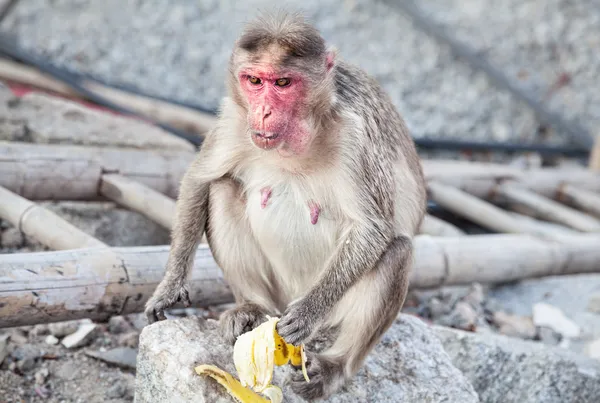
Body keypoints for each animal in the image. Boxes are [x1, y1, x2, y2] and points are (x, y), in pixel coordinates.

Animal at [145, 11, 426, 400]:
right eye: (254, 80)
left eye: (282, 82)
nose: (262, 112)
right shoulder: (234, 121)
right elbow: (200, 180)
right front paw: (170, 287)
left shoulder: (355, 137)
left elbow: (372, 228)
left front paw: (308, 313)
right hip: (277, 290)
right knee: (223, 189)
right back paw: (252, 307)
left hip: (333, 314)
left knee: (397, 250)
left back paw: (335, 367)